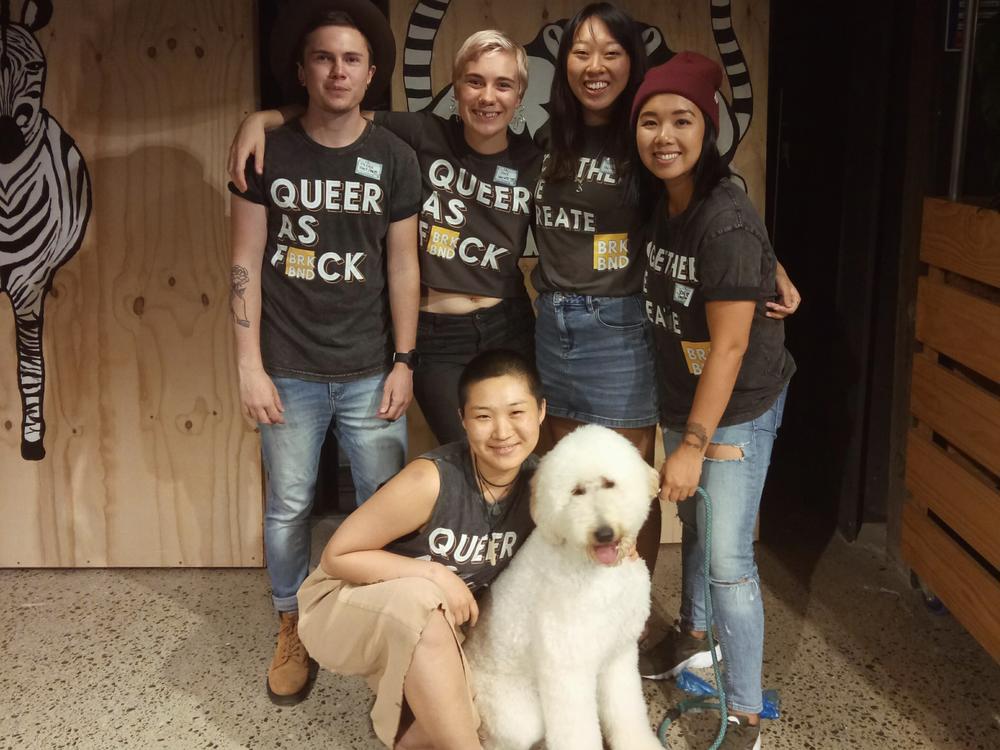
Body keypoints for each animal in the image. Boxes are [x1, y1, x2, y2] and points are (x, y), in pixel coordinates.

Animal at [464, 424, 664, 750]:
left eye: (609, 483)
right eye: (576, 491)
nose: (603, 533)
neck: (596, 574)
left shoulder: (619, 654)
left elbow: (626, 710)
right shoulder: (567, 671)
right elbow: (576, 731)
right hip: (516, 717)